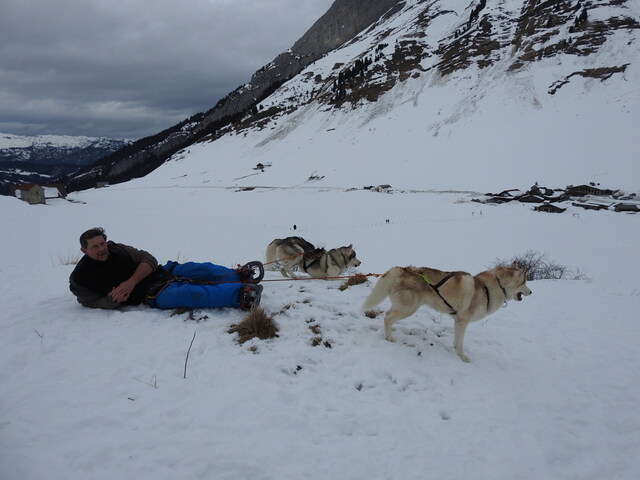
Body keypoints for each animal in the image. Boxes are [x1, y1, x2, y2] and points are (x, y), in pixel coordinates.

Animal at [362, 264, 532, 362]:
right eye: (524, 282)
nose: (531, 292)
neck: (488, 289)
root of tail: (400, 269)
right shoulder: (463, 322)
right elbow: (461, 343)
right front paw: (462, 357)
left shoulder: (458, 321)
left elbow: (456, 341)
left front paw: (455, 351)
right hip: (408, 308)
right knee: (387, 318)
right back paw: (389, 337)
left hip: (404, 307)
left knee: (387, 314)